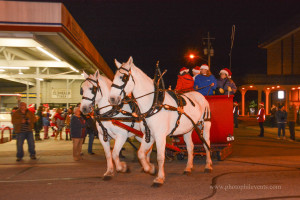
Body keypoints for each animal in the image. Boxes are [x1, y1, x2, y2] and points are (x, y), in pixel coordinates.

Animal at [109, 57, 212, 187]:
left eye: (124, 77)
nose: (112, 99)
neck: (154, 104)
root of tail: (200, 95)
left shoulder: (160, 136)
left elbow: (160, 157)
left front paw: (159, 178)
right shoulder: (148, 135)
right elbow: (141, 153)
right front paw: (150, 169)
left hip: (205, 125)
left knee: (206, 144)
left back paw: (208, 165)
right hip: (187, 130)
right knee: (190, 147)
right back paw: (188, 168)